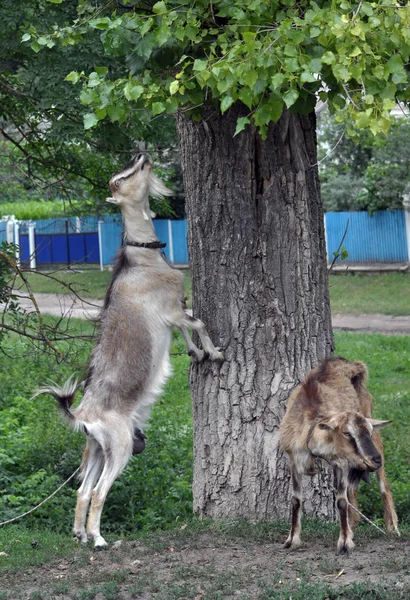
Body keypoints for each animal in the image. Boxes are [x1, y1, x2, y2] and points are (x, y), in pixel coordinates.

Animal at [37, 154, 224, 548]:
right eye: (120, 179)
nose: (143, 156)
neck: (143, 261)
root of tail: (83, 416)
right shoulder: (169, 308)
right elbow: (197, 322)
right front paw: (215, 354)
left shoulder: (172, 312)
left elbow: (186, 327)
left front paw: (197, 354)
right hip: (120, 447)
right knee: (97, 492)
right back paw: (99, 539)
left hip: (96, 449)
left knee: (81, 491)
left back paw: (80, 534)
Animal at [280, 354, 398, 556]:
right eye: (347, 433)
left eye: (368, 430)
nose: (375, 460)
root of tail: (350, 364)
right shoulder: (294, 460)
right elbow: (295, 500)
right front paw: (291, 540)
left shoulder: (341, 462)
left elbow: (341, 501)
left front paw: (344, 543)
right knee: (352, 491)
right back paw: (352, 525)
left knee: (382, 484)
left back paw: (392, 528)